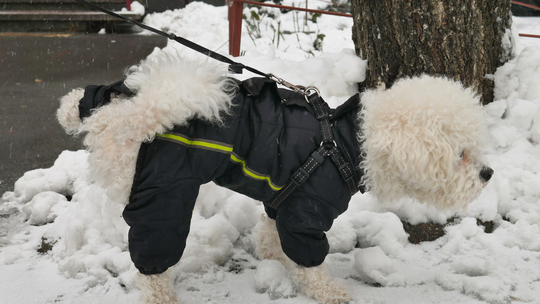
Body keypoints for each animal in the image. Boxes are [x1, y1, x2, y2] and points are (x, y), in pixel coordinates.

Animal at [58, 52, 494, 304]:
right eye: (461, 154)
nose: (488, 173)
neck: (346, 143)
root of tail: (129, 117)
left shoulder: (280, 198)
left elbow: (271, 234)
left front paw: (273, 259)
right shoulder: (306, 215)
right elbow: (311, 261)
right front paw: (327, 291)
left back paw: (74, 106)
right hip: (165, 193)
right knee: (153, 259)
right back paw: (160, 294)